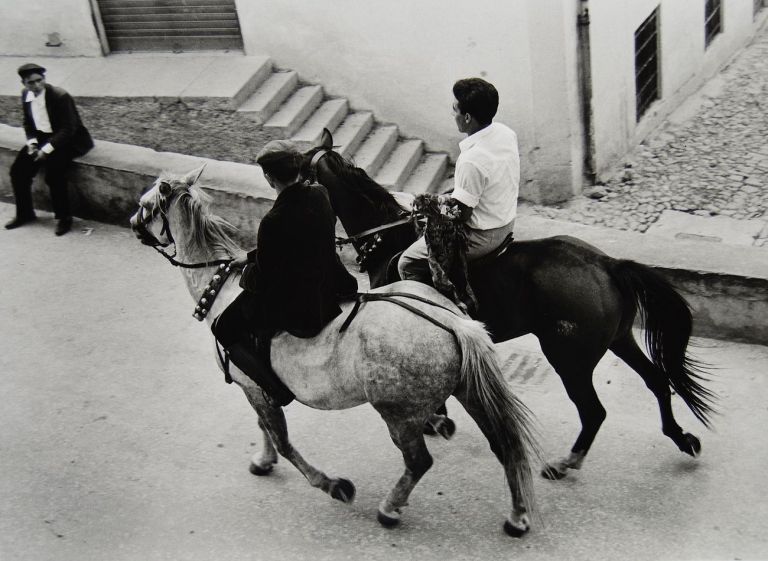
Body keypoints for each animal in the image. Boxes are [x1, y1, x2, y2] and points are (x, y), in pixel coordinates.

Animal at [130, 165, 540, 532]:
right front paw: (263, 460)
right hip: (469, 392)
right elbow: (266, 428)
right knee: (505, 444)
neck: (221, 288)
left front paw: (330, 484)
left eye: (146, 204)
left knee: (419, 462)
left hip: (399, 414)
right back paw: (517, 514)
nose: (134, 223)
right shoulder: (256, 388)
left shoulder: (253, 385)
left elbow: (282, 440)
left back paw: (390, 508)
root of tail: (454, 322)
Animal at [304, 129, 716, 480]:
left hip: (569, 359)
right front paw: (438, 418)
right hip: (620, 339)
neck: (388, 239)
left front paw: (435, 419)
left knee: (594, 410)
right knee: (658, 381)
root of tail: (607, 264)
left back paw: (566, 462)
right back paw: (682, 438)